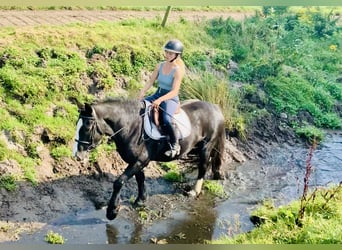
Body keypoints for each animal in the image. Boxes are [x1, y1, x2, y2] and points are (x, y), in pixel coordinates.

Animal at [73, 98, 226, 221]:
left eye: (87, 126)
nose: (78, 156)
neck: (130, 125)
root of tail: (216, 108)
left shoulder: (140, 160)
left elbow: (119, 182)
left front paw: (112, 211)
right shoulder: (135, 160)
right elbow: (140, 178)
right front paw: (141, 200)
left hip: (206, 146)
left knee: (203, 166)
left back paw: (195, 191)